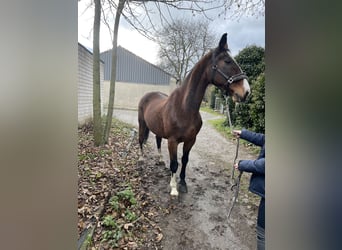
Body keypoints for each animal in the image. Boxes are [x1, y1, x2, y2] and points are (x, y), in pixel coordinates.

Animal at [138, 33, 250, 196]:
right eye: (227, 61)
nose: (246, 91)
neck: (184, 108)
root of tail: (148, 94)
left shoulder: (191, 140)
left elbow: (184, 160)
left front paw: (183, 183)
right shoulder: (173, 141)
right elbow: (174, 163)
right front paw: (173, 188)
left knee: (158, 141)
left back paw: (160, 160)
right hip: (142, 124)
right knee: (141, 139)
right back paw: (140, 159)